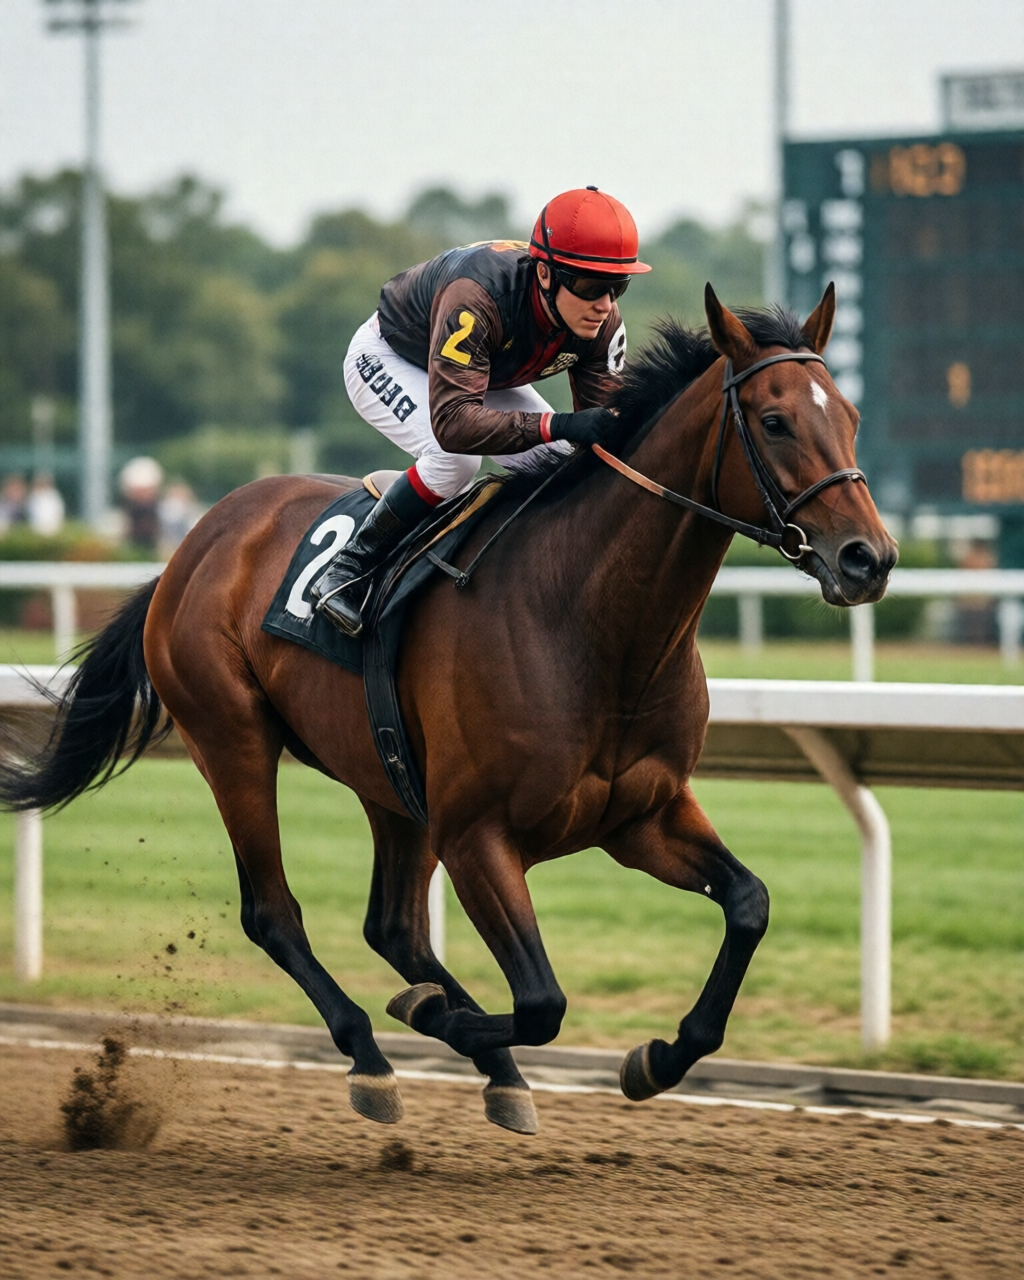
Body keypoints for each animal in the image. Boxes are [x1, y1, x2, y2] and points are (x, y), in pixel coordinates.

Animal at [0, 285, 896, 1136]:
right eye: (775, 421)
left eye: (852, 417)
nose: (870, 559)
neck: (591, 622)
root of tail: (193, 543)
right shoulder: (477, 836)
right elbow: (541, 1001)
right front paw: (438, 1017)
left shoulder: (642, 815)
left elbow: (748, 905)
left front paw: (657, 1057)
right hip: (232, 739)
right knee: (275, 913)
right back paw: (372, 1055)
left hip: (388, 777)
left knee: (393, 926)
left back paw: (492, 1072)